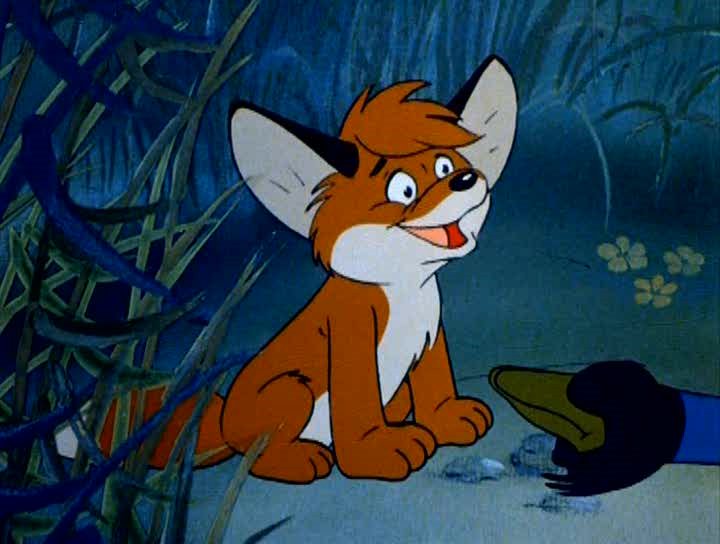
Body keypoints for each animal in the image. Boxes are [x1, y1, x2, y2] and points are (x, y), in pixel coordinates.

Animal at [55, 55, 518, 484]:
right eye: (403, 189)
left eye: (446, 165)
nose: (464, 180)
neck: (404, 289)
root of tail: (220, 420)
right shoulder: (351, 338)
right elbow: (358, 408)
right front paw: (376, 453)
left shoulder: (430, 332)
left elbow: (434, 383)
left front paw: (445, 419)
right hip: (292, 390)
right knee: (256, 457)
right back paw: (300, 458)